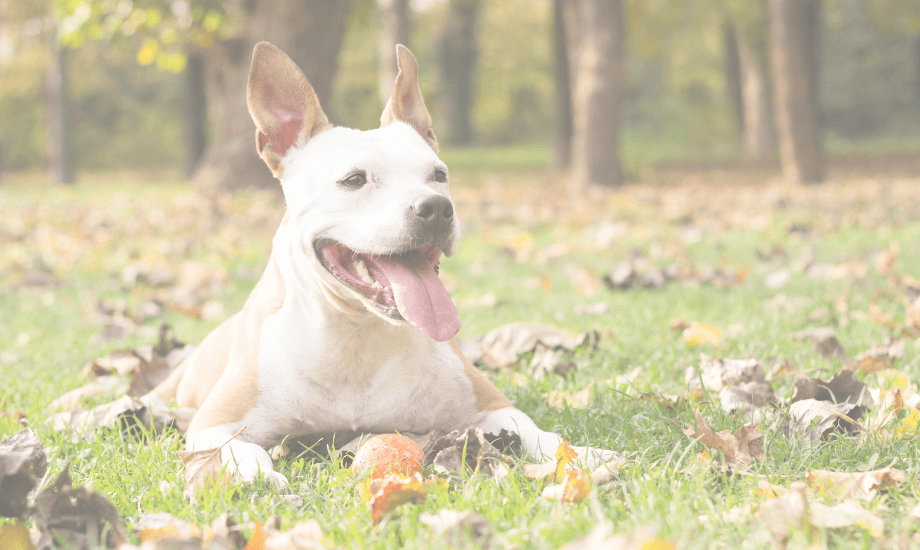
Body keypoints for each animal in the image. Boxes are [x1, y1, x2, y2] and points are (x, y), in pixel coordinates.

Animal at [147, 41, 616, 490]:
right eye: (354, 180)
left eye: (439, 175)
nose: (436, 207)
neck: (356, 333)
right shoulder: (216, 423)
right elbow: (238, 449)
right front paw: (254, 475)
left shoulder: (492, 407)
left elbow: (540, 434)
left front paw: (583, 456)